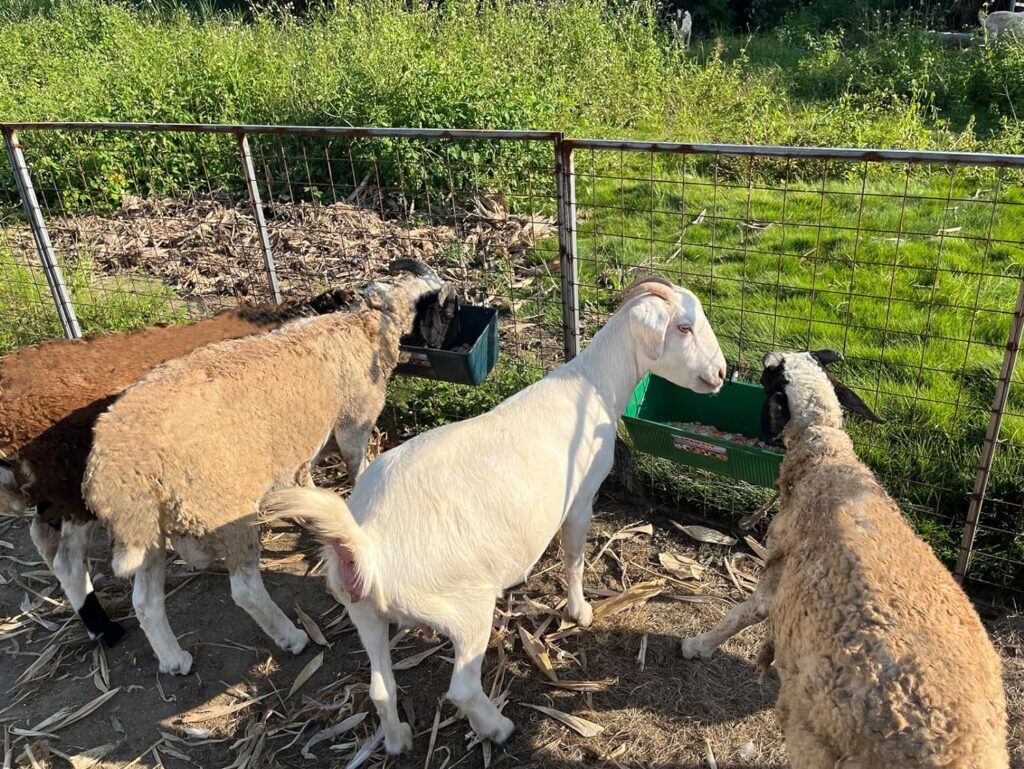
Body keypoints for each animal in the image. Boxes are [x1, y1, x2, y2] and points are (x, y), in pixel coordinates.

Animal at [264, 274, 729, 753]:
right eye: (684, 327)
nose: (720, 374)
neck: (593, 385)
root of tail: (366, 545)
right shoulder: (581, 499)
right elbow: (574, 558)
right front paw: (579, 612)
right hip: (464, 609)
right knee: (462, 688)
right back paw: (498, 728)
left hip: (364, 612)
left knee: (381, 688)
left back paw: (398, 740)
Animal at [679, 350, 1007, 769]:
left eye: (770, 376)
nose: (765, 356)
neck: (826, 457)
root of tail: (958, 752)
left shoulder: (777, 577)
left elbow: (742, 614)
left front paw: (697, 646)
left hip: (816, 741)